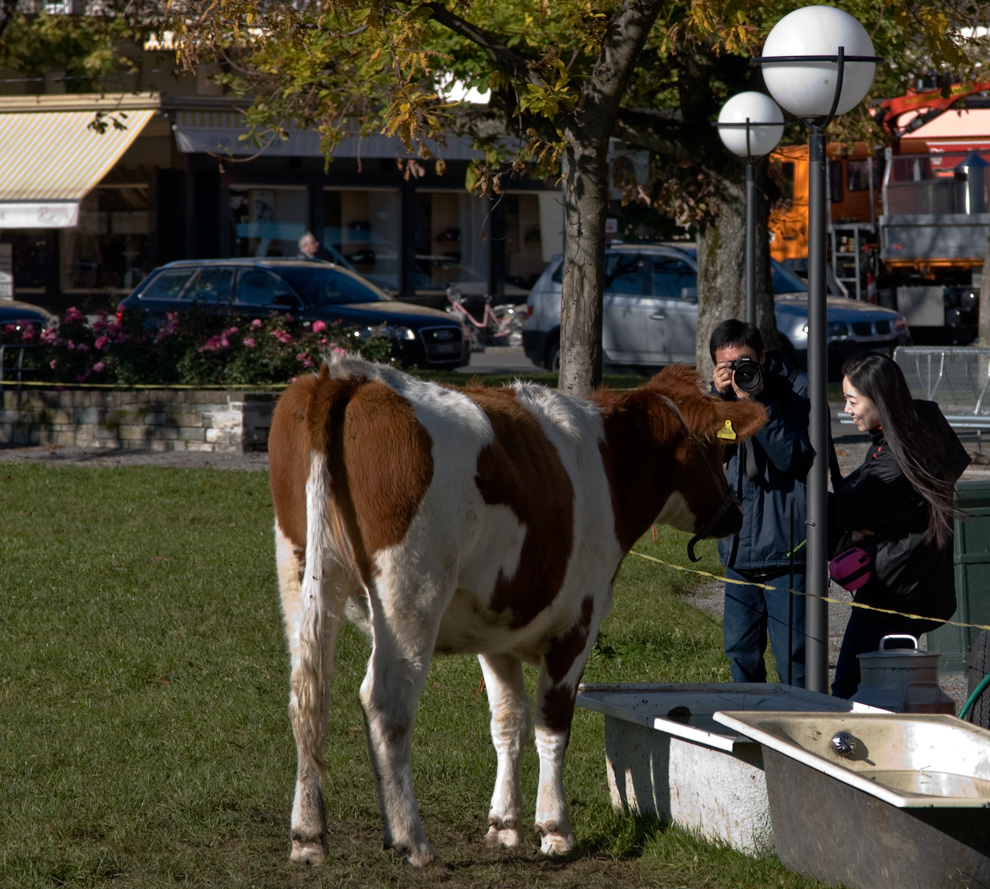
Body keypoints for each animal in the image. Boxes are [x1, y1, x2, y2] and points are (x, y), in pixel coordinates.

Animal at [270, 356, 768, 868]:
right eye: (720, 450)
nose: (734, 513)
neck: (612, 464)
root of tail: (352, 375)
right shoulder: (579, 622)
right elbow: (553, 723)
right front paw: (555, 829)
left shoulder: (498, 629)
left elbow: (508, 721)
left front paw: (504, 825)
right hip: (410, 590)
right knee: (387, 702)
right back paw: (412, 839)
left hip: (302, 573)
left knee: (308, 695)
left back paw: (308, 834)